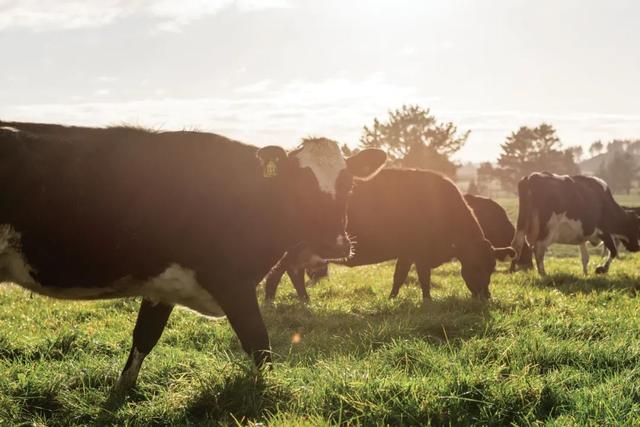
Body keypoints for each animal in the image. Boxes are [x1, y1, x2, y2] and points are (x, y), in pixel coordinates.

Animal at [0, 123, 384, 392]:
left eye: (349, 185)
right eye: (299, 186)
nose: (335, 244)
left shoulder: (162, 287)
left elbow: (144, 338)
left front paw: (123, 390)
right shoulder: (232, 282)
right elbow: (259, 344)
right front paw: (269, 392)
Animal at [262, 167, 516, 304]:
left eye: (492, 267)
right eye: (475, 266)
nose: (485, 296)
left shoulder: (407, 253)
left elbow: (399, 276)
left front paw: (392, 299)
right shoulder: (420, 253)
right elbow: (423, 278)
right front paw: (427, 301)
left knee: (288, 270)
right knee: (287, 270)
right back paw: (286, 299)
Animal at [510, 172, 640, 276]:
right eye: (635, 228)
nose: (637, 247)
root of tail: (531, 177)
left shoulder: (583, 235)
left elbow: (585, 257)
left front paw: (586, 274)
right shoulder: (604, 231)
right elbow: (613, 251)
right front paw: (601, 269)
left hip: (522, 225)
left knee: (516, 246)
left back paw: (512, 270)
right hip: (547, 229)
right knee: (538, 249)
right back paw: (543, 274)